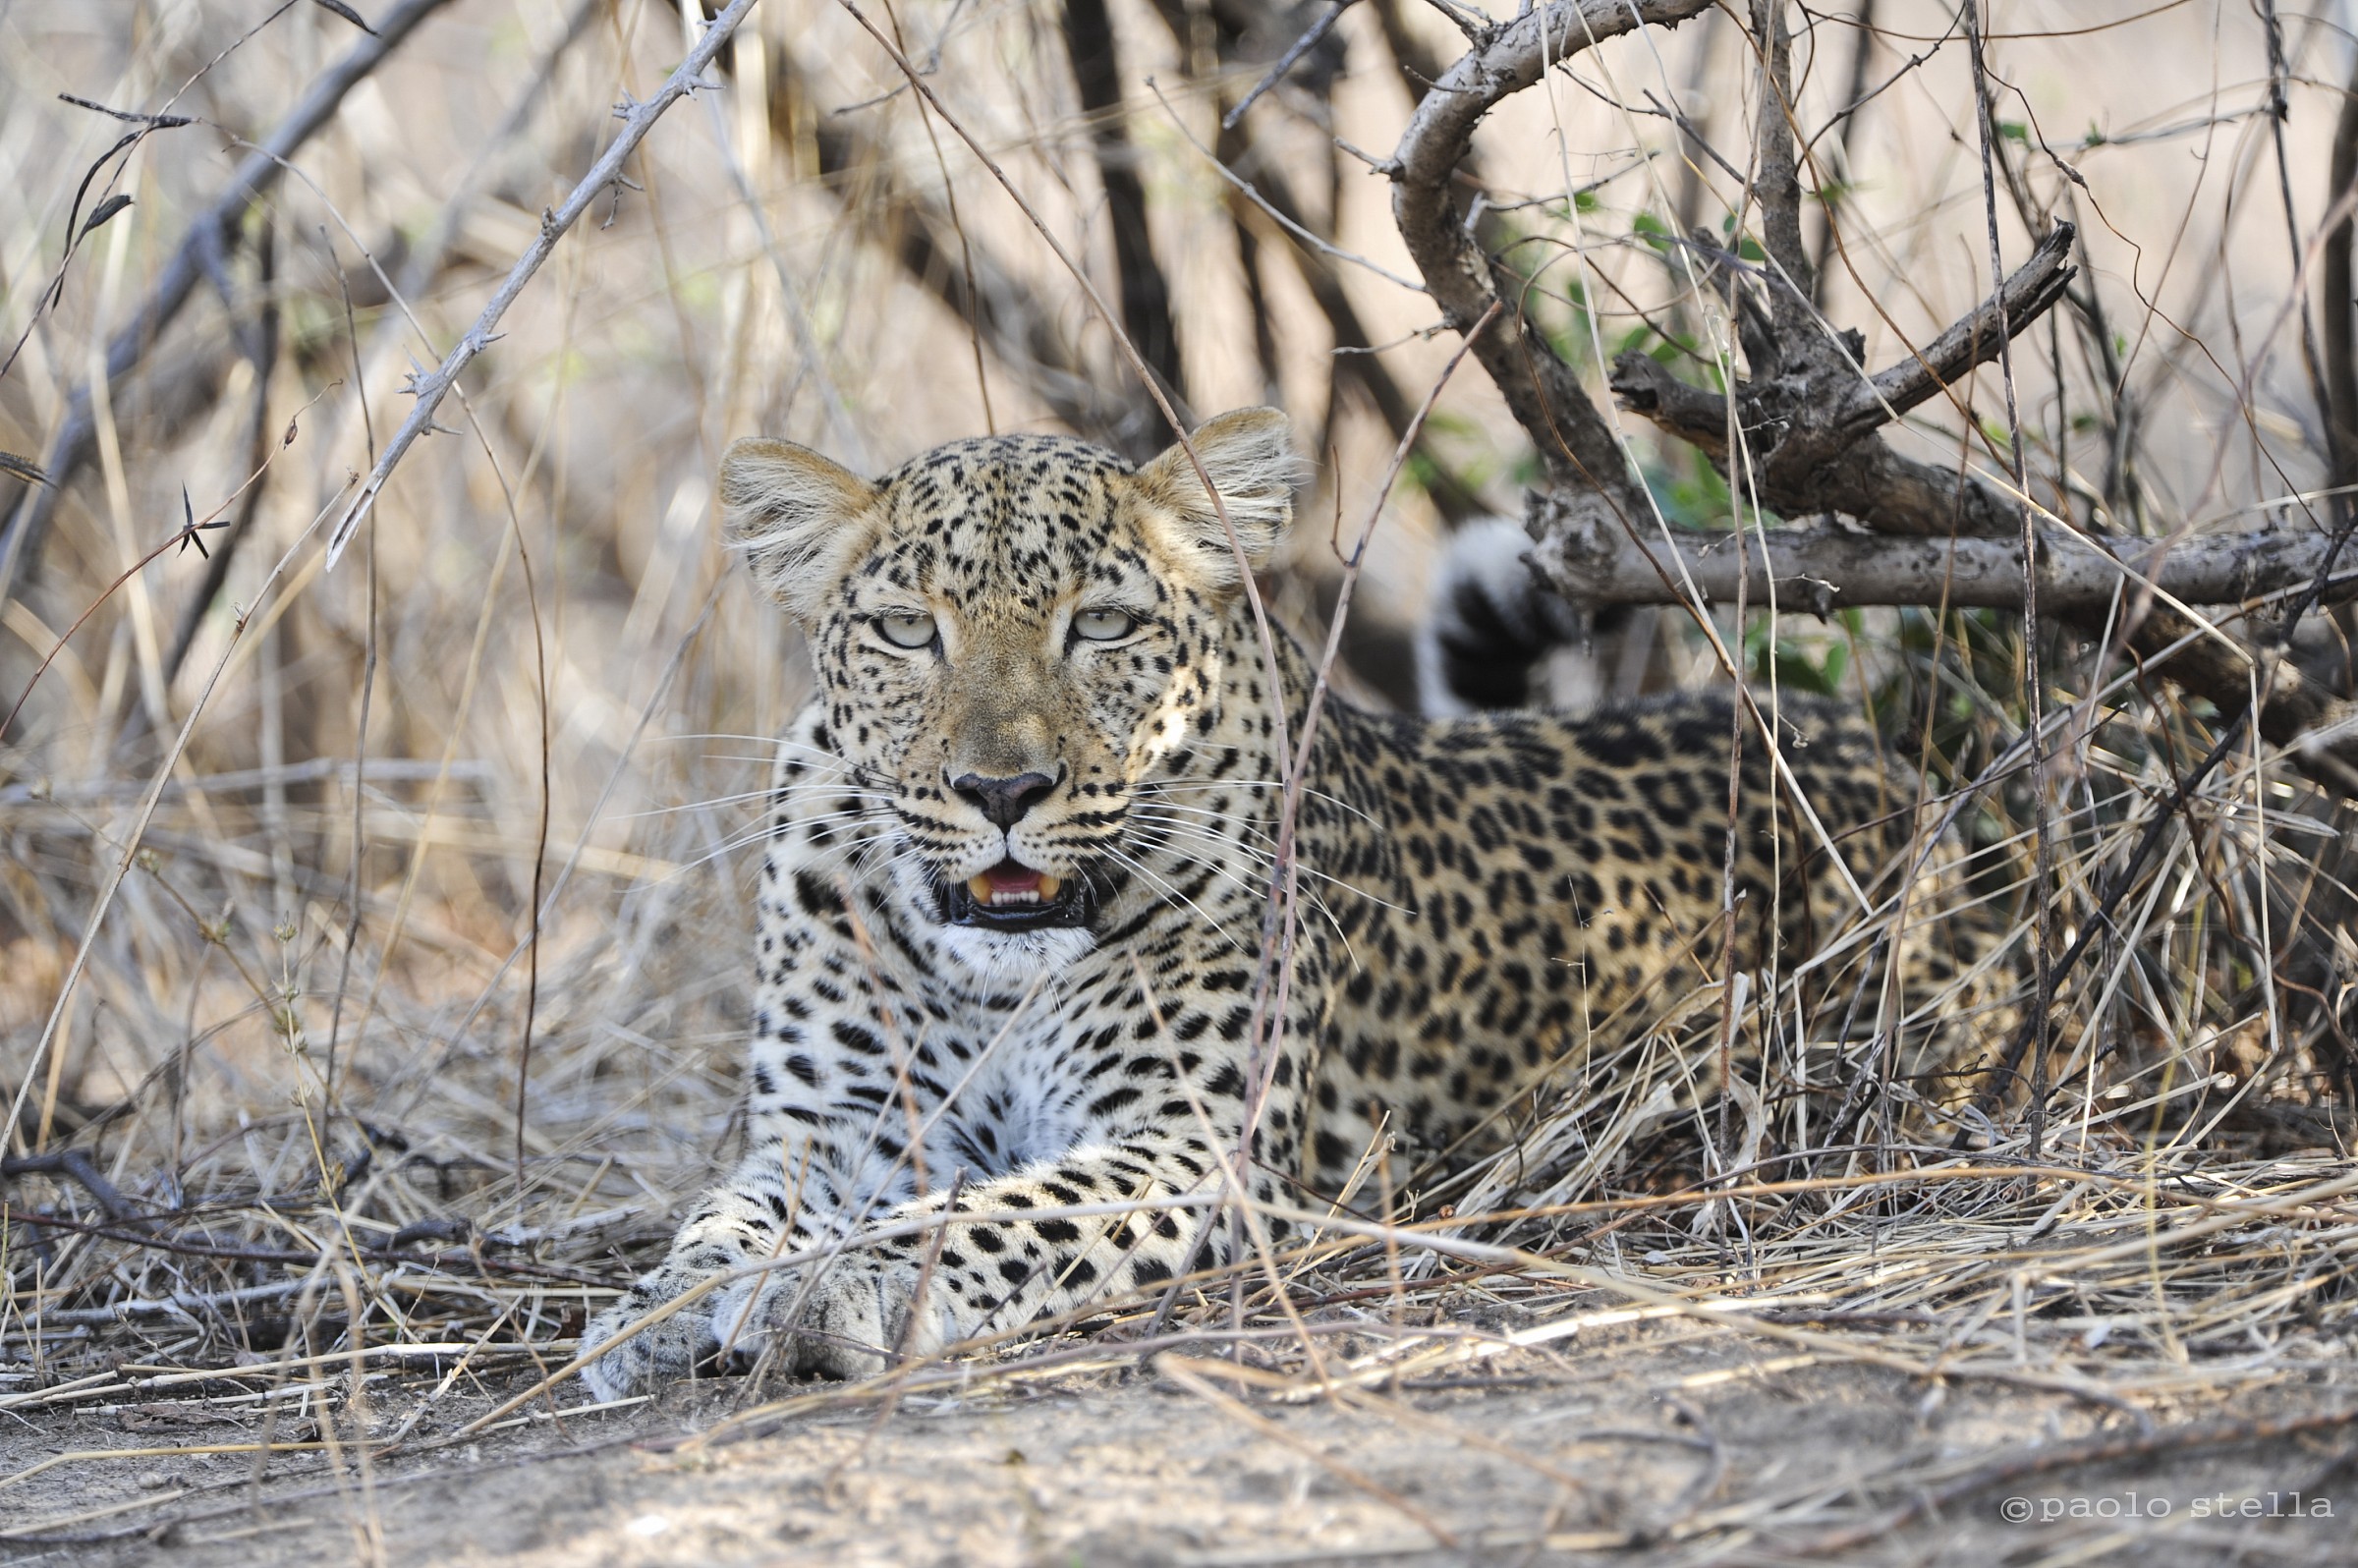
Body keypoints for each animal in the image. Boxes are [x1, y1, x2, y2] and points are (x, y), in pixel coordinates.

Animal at [579, 407, 1988, 1398]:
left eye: (1100, 628)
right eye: (908, 633)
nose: (1002, 789)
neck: (996, 981)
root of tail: (1877, 754)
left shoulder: (1199, 1145)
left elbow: (1000, 1209)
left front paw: (841, 1284)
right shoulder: (840, 1131)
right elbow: (725, 1215)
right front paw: (655, 1313)